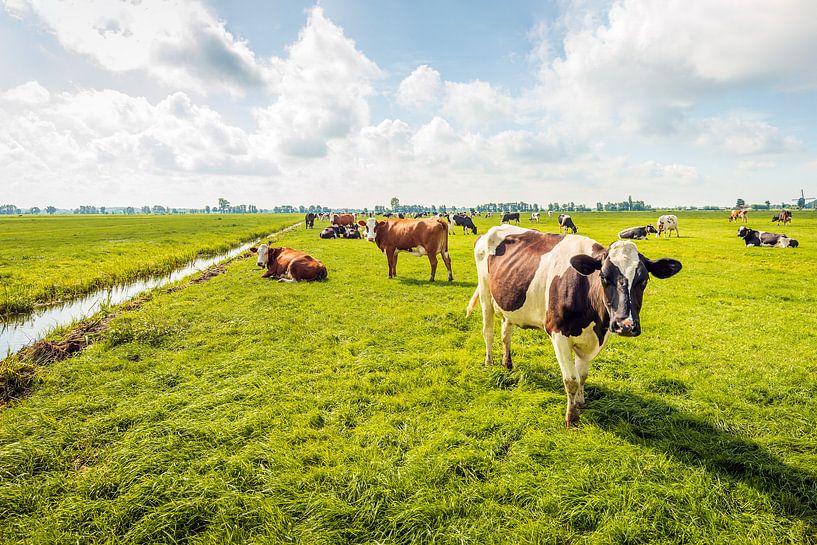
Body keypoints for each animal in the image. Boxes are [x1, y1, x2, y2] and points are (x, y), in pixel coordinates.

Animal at [466, 224, 684, 424]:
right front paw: (571, 418)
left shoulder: (594, 339)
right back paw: (489, 362)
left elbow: (582, 376)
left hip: (508, 302)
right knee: (488, 331)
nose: (626, 325)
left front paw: (580, 404)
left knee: (506, 333)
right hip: (485, 294)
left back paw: (508, 363)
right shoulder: (557, 333)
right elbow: (571, 379)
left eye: (644, 280)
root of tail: (492, 230)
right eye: (604, 277)